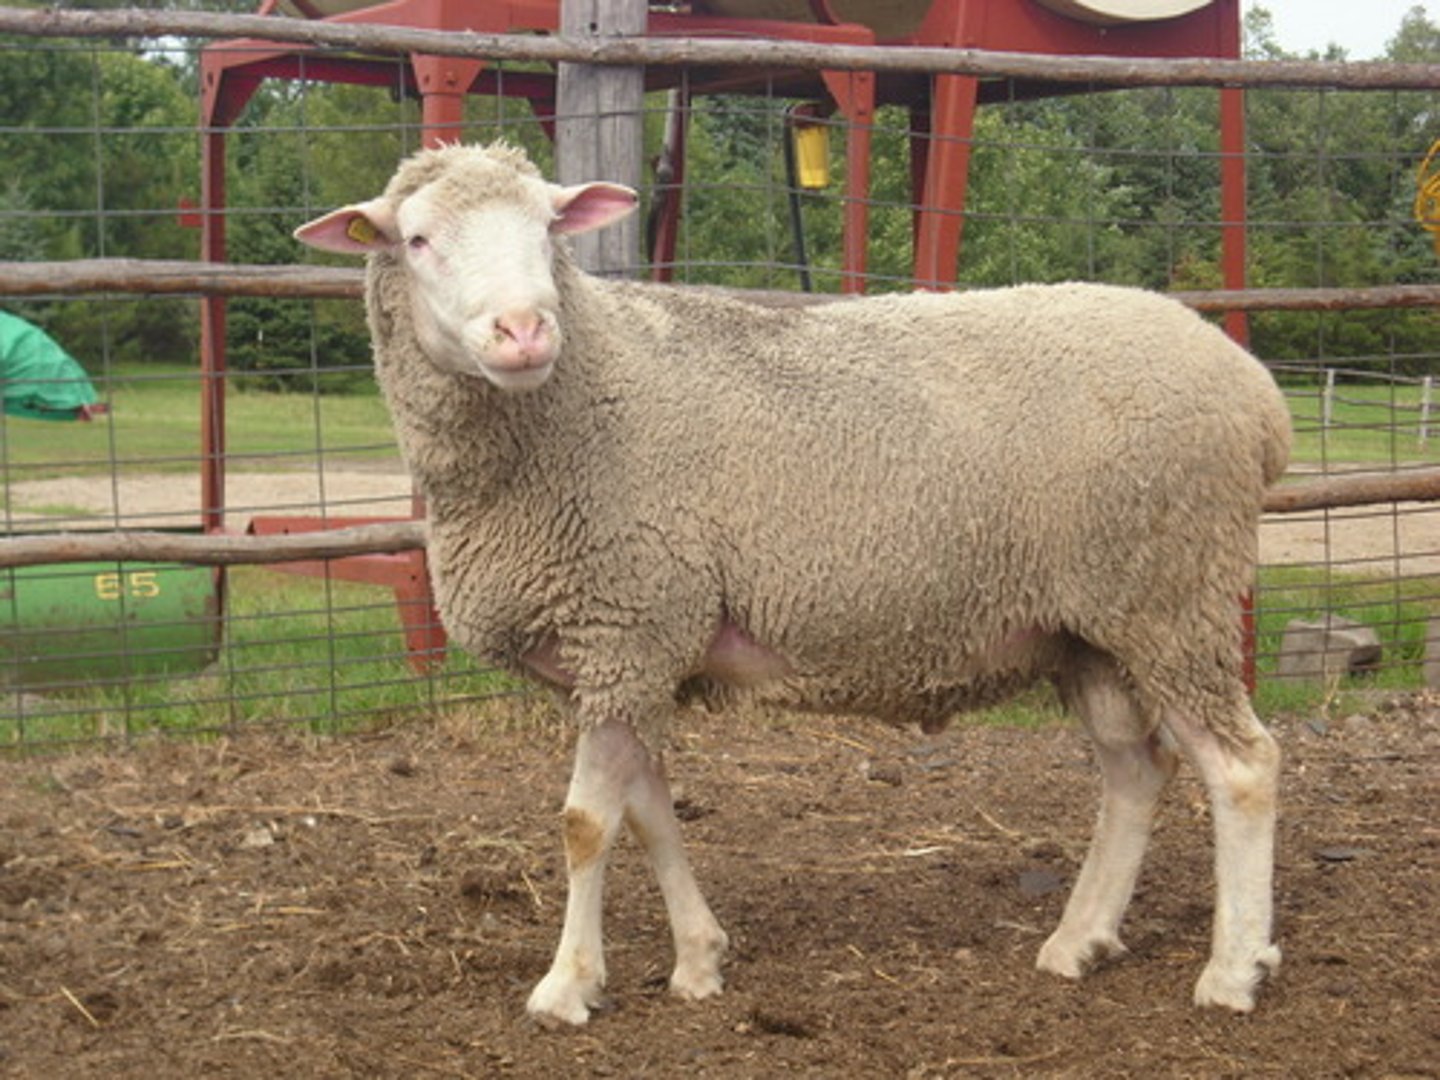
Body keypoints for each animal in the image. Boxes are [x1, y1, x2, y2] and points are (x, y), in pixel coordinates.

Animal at [295, 141, 1292, 1027]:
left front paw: (567, 987)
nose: (525, 330)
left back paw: (1232, 970)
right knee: (1135, 771)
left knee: (1243, 767)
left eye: (549, 228)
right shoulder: (636, 648)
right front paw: (699, 961)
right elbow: (649, 813)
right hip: (1094, 625)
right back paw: (1078, 941)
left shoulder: (625, 623)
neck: (584, 395)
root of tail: (1257, 392)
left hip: (1172, 594)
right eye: (416, 239)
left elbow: (586, 824)